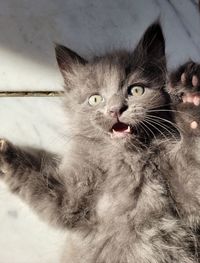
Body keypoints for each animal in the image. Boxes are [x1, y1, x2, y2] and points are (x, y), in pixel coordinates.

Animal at [0, 22, 200, 263]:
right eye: (95, 99)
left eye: (136, 90)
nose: (115, 109)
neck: (127, 161)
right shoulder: (70, 198)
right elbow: (38, 184)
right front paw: (5, 152)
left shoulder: (187, 196)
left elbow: (192, 166)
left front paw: (190, 97)